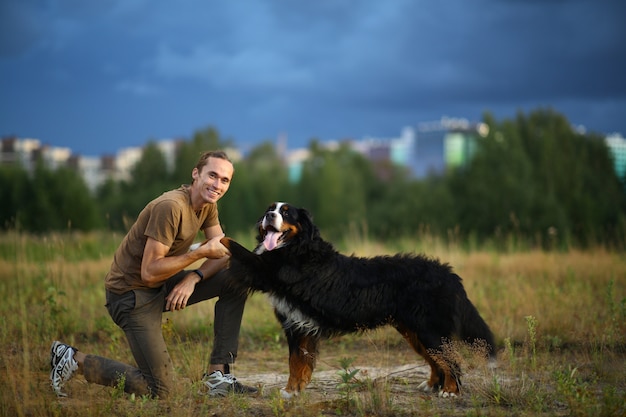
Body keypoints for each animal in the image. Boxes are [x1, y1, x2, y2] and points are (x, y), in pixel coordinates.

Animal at [222, 203, 494, 398]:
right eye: (270, 208)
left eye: (286, 212)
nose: (269, 215)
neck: (296, 251)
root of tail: (449, 274)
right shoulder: (298, 325)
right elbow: (297, 363)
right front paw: (292, 391)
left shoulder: (269, 277)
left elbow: (240, 250)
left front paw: (216, 234)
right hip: (415, 331)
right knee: (437, 360)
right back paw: (432, 386)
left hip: (430, 330)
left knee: (451, 360)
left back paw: (450, 391)